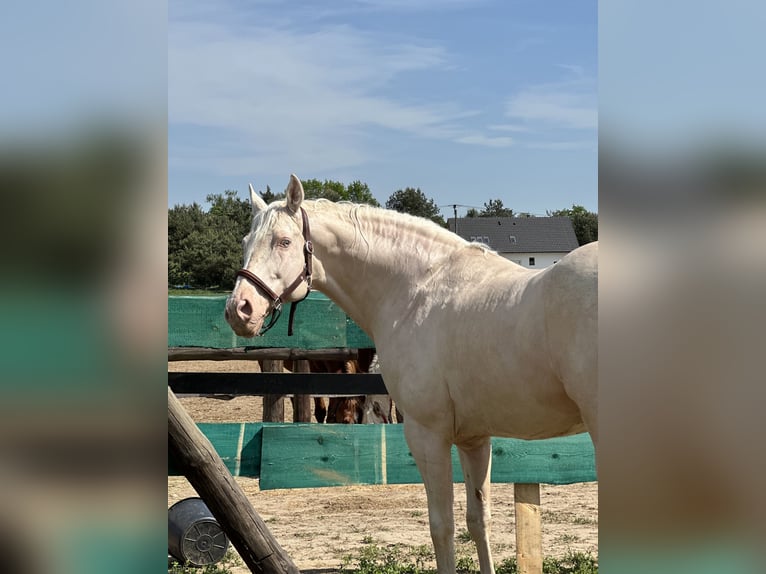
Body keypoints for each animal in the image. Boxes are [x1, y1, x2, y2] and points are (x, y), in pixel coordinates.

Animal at [228, 176, 600, 574]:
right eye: (245, 243)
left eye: (283, 241)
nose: (238, 309)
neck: (417, 290)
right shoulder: (473, 439)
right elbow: (478, 520)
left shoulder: (427, 435)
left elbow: (442, 527)